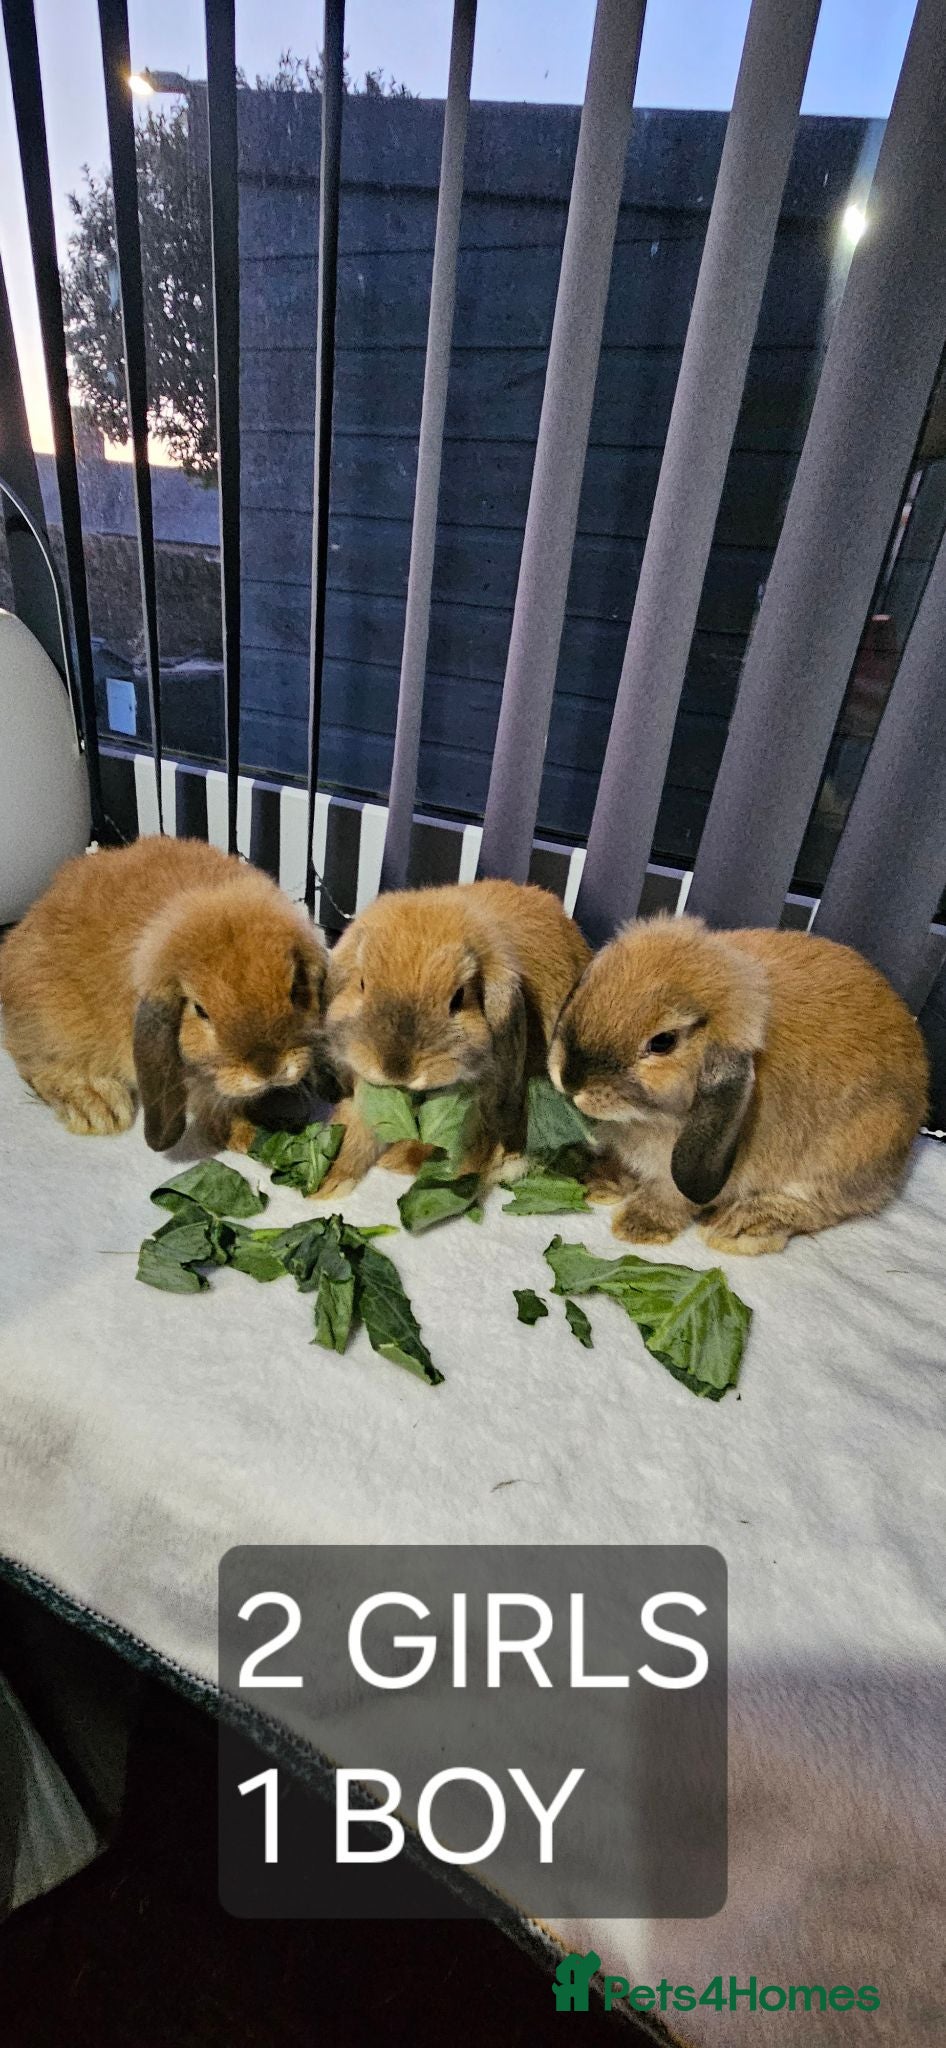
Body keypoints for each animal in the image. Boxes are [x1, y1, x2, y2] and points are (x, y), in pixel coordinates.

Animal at [0, 835, 329, 1152]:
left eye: (294, 990)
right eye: (200, 1010)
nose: (268, 1069)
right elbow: (210, 1100)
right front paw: (242, 1135)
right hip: (54, 1027)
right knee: (36, 1064)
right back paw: (98, 1107)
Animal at [319, 879, 592, 1196]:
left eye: (458, 998)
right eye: (362, 983)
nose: (397, 1070)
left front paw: (416, 1169)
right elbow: (356, 1135)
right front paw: (329, 1185)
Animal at [547, 914, 929, 1255]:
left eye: (663, 1042)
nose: (569, 1079)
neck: (649, 1120)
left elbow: (672, 1197)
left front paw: (639, 1226)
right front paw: (599, 1181)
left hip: (847, 1155)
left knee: (820, 1208)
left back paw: (741, 1225)